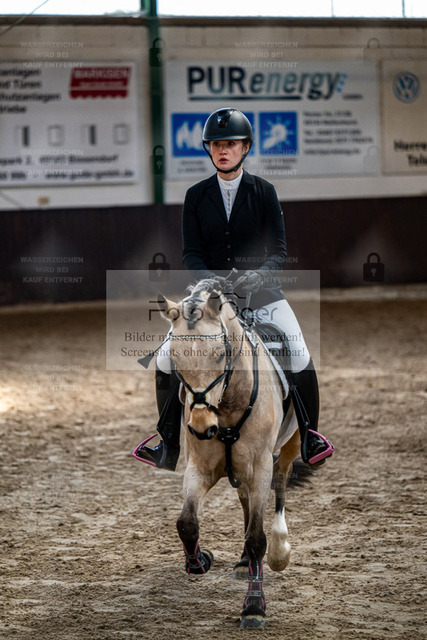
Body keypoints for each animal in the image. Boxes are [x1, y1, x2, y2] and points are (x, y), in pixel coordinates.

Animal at [157, 283, 308, 629]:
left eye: (219, 354)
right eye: (175, 357)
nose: (201, 427)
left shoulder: (261, 467)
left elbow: (256, 539)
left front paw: (254, 607)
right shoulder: (200, 468)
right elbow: (187, 523)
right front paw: (199, 561)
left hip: (289, 448)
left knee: (280, 486)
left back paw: (279, 550)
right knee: (244, 502)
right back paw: (241, 563)